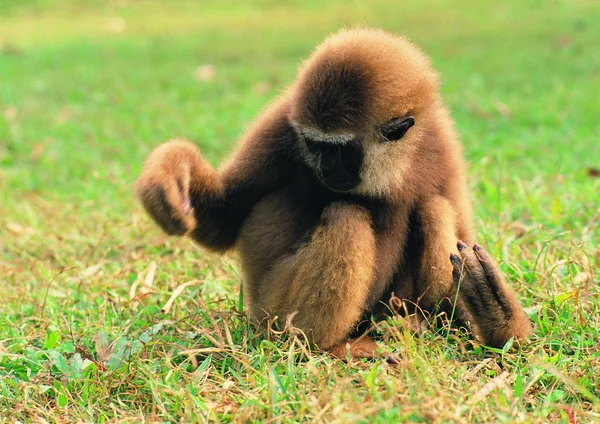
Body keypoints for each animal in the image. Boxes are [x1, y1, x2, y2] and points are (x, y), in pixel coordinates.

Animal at [136, 26, 528, 360]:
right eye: (314, 145)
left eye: (340, 151)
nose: (325, 167)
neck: (393, 165)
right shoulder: (280, 123)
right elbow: (224, 220)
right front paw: (171, 168)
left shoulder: (440, 140)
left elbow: (463, 242)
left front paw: (497, 317)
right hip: (272, 310)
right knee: (348, 215)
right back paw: (328, 346)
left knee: (432, 206)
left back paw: (412, 323)